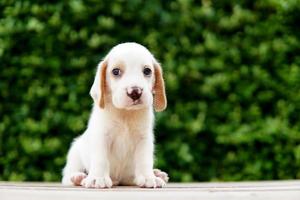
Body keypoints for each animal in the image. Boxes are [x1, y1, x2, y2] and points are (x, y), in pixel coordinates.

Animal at [61, 43, 168, 188]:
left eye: (147, 71)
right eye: (116, 71)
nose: (135, 92)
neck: (125, 114)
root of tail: (119, 179)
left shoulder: (144, 139)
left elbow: (144, 160)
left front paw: (148, 177)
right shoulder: (101, 137)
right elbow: (100, 159)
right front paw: (98, 178)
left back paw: (157, 173)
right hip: (75, 154)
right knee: (68, 176)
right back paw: (78, 177)